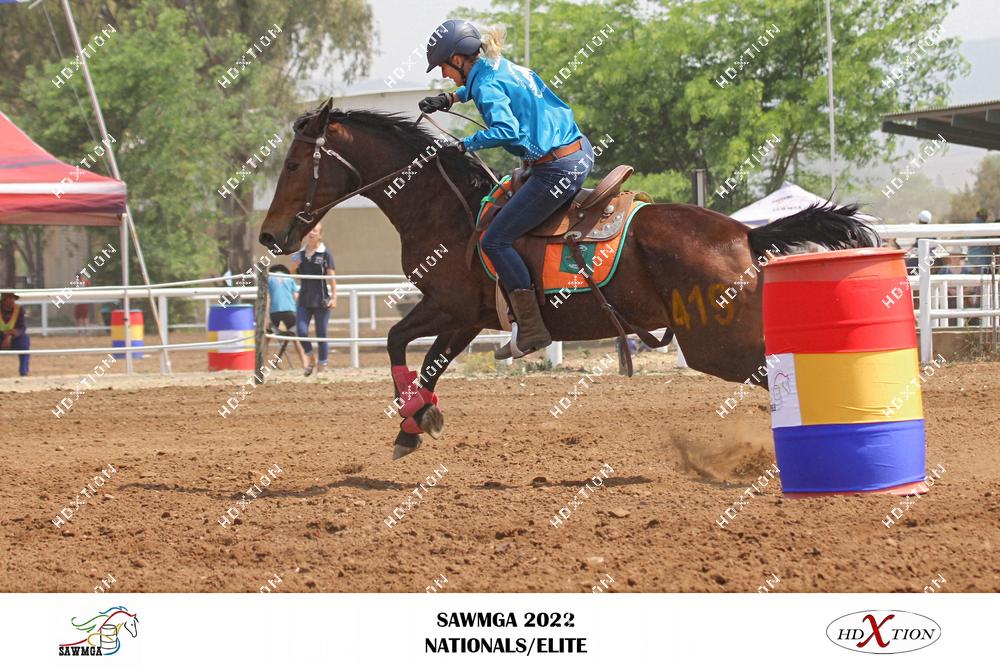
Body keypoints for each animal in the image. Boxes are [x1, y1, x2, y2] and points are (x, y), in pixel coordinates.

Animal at [259, 99, 879, 459]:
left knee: (781, 372)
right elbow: (417, 354)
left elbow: (403, 344)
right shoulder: (466, 315)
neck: (448, 210)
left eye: (293, 164)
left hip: (718, 343)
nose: (269, 236)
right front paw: (418, 421)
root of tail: (742, 235)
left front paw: (414, 420)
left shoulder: (452, 308)